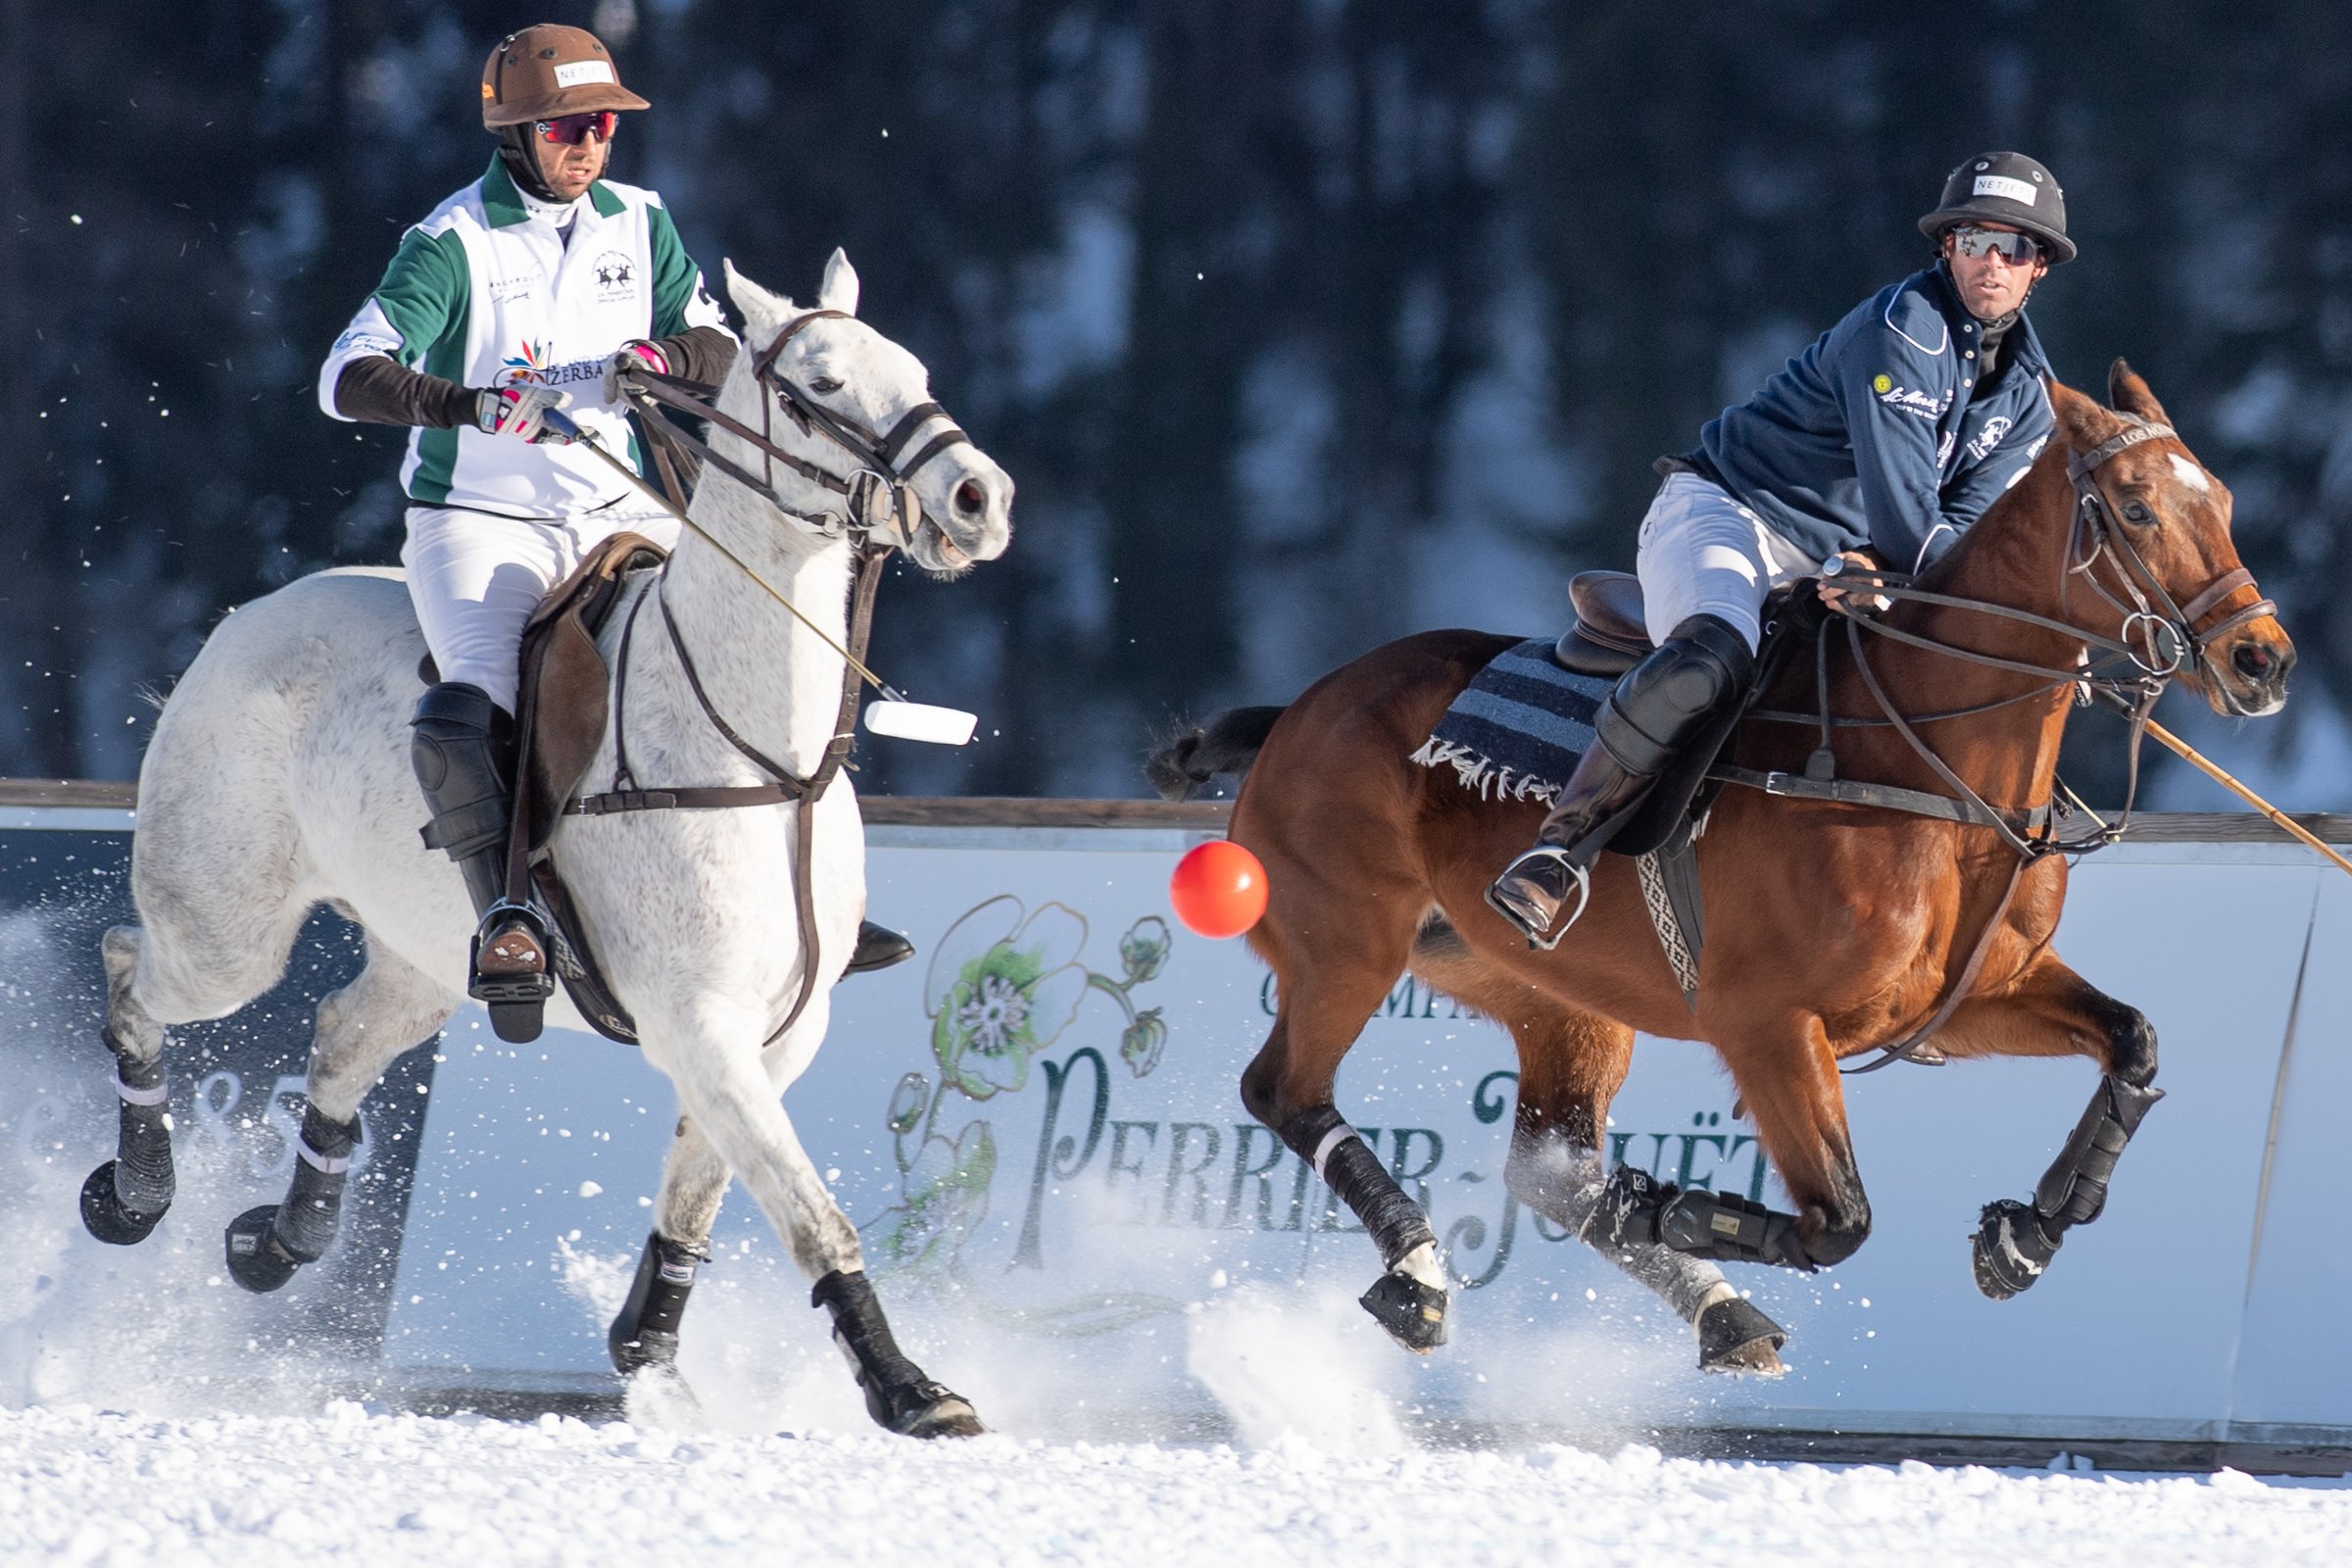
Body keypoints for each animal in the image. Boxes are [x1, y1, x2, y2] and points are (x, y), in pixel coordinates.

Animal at [71, 251, 1011, 1439]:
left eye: (915, 371)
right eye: (819, 388)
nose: (980, 500)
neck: (764, 756)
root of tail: (245, 615)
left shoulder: (780, 1028)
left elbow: (701, 1192)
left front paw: (648, 1357)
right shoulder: (697, 1020)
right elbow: (811, 1212)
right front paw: (911, 1391)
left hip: (425, 953)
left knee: (338, 1036)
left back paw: (281, 1242)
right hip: (224, 927)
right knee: (130, 971)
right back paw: (135, 1191)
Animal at [1156, 364, 2295, 1372]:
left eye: (2225, 499)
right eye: (2137, 509)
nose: (2263, 661)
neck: (1939, 772)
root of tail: (1302, 706)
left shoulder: (1965, 998)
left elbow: (2133, 1040)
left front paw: (2023, 1236)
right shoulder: (1768, 1024)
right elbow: (1839, 1218)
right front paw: (1665, 1204)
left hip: (1555, 997)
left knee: (1549, 1167)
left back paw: (1715, 1309)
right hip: (1345, 942)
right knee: (1285, 1091)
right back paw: (1425, 1276)